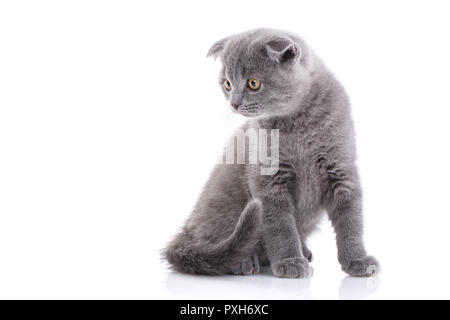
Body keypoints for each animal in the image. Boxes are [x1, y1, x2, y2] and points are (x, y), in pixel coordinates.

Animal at [163, 28, 378, 278]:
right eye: (227, 84)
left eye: (253, 83)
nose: (234, 103)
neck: (299, 126)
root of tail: (186, 229)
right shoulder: (269, 180)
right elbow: (280, 225)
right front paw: (289, 262)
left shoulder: (341, 169)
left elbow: (351, 220)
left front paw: (358, 260)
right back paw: (243, 262)